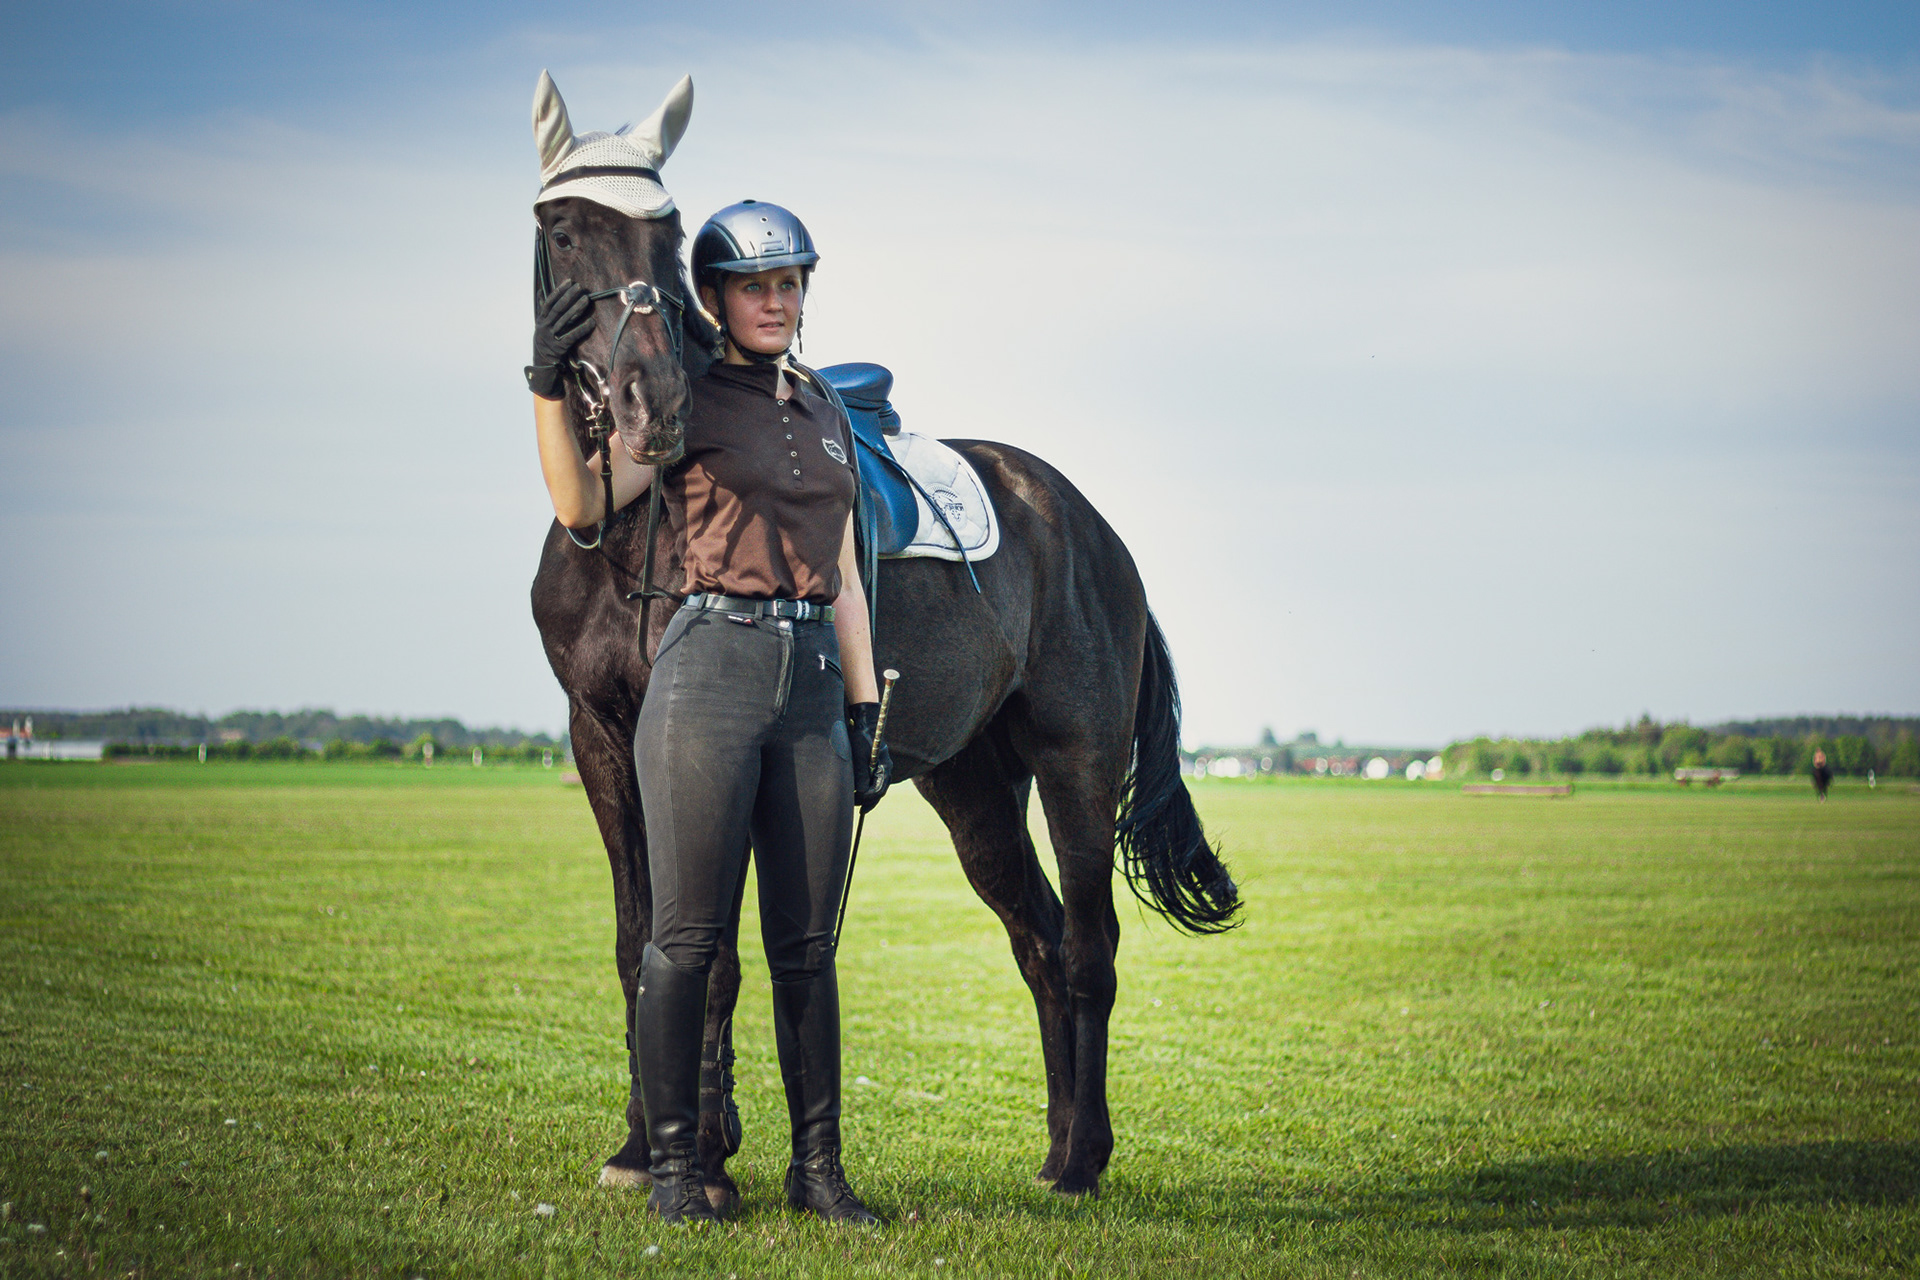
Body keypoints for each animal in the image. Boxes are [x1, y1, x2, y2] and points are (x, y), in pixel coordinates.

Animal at [524, 73, 1239, 1205]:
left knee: (1090, 945)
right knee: (1040, 939)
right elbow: (643, 941)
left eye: (668, 232)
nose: (652, 403)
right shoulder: (599, 734)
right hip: (972, 780)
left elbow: (716, 953)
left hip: (1076, 761)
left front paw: (711, 1156)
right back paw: (1058, 1147)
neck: (631, 521)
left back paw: (1083, 1161)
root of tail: (1086, 521)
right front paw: (644, 1148)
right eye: (562, 229)